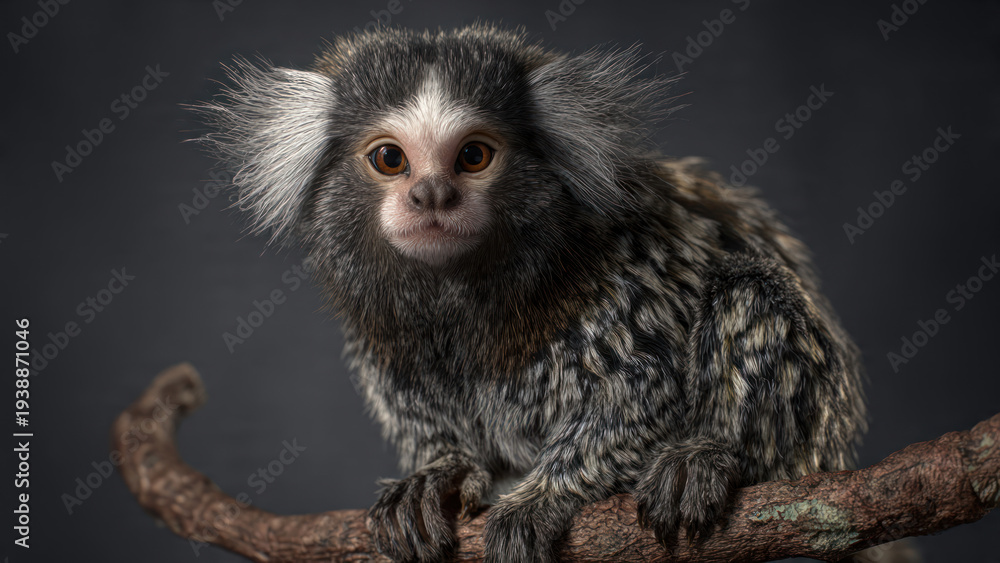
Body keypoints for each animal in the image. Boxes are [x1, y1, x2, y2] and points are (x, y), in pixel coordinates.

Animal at [197, 24, 916, 563]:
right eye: (390, 160)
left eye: (474, 156)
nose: (431, 195)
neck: (463, 289)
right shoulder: (385, 335)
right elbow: (427, 417)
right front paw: (440, 472)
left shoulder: (622, 284)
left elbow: (643, 388)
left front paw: (546, 495)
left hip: (815, 436)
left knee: (750, 290)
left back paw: (711, 456)